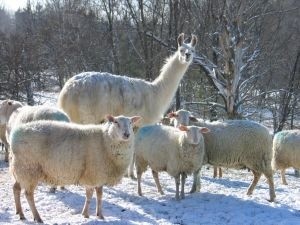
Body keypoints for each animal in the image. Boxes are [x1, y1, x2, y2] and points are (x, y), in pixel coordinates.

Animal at [9, 115, 141, 222]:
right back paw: (37, 217)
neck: (105, 140)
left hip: (20, 170)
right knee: (28, 194)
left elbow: (99, 195)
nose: (127, 134)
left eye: (130, 123)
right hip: (29, 169)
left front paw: (98, 215)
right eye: (115, 122)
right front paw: (87, 214)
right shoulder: (93, 174)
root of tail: (14, 135)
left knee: (16, 188)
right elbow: (90, 195)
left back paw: (20, 214)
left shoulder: (100, 175)